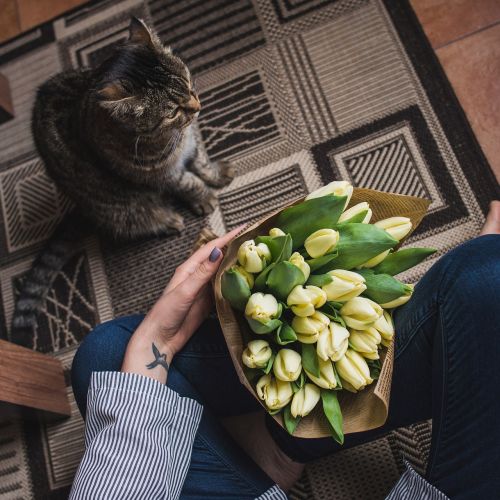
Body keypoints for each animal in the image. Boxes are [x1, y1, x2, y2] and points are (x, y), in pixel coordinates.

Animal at [12, 16, 232, 344]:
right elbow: (189, 183)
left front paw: (217, 175)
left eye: (187, 81)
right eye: (172, 111)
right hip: (122, 206)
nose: (197, 106)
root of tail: (81, 208)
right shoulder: (164, 174)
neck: (175, 139)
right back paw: (168, 219)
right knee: (141, 217)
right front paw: (204, 198)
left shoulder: (192, 143)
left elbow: (202, 163)